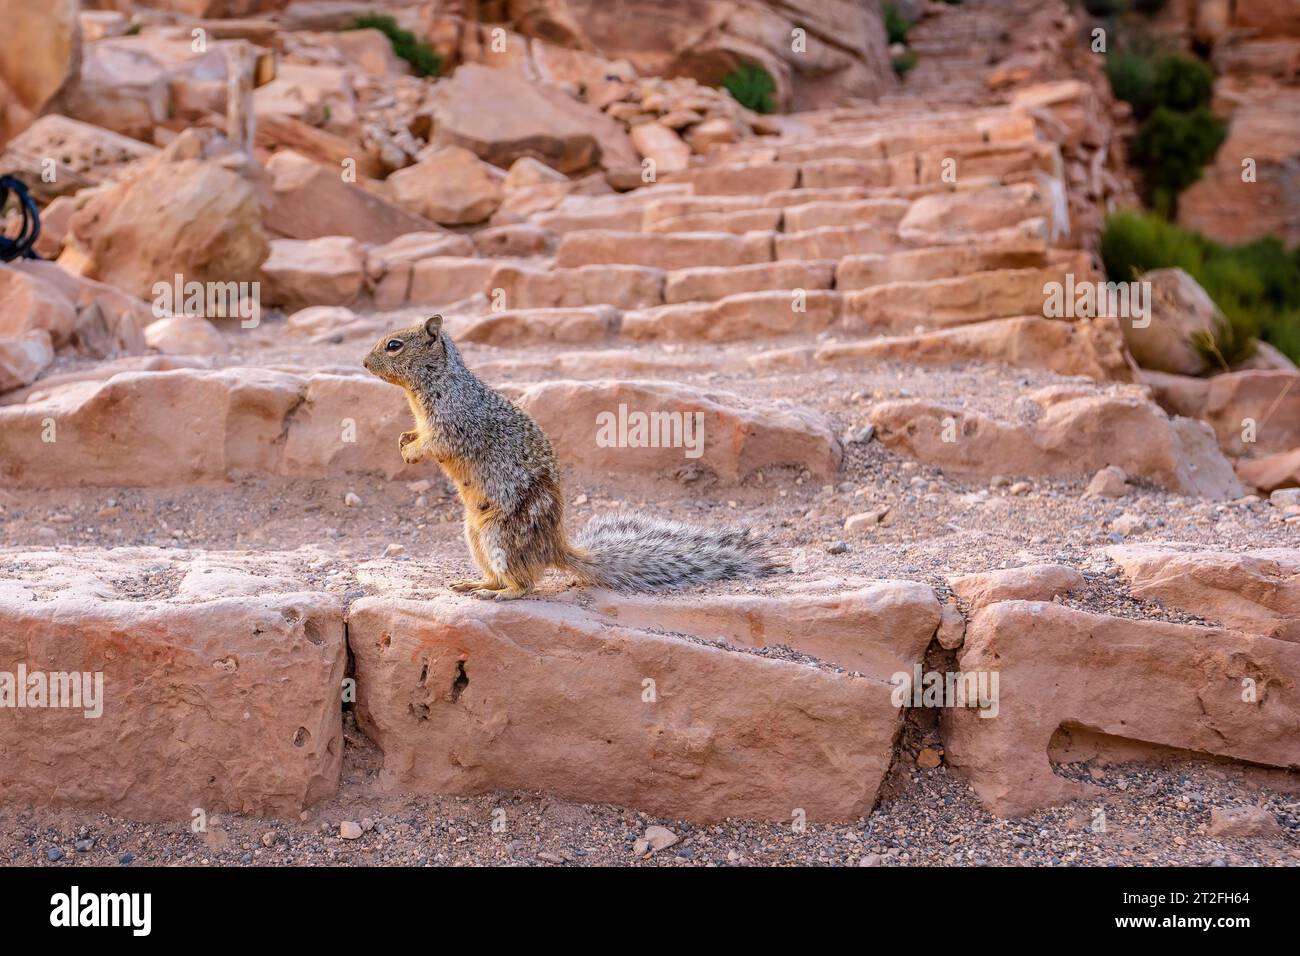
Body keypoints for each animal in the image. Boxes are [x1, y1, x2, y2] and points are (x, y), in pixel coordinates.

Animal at [361, 314, 774, 598]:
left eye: (394, 345)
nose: (363, 363)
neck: (430, 388)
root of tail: (554, 548)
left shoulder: (453, 426)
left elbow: (436, 445)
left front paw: (411, 453)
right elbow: (417, 435)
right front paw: (403, 439)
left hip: (500, 537)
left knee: (524, 584)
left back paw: (498, 594)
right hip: (475, 537)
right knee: (499, 576)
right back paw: (473, 584)